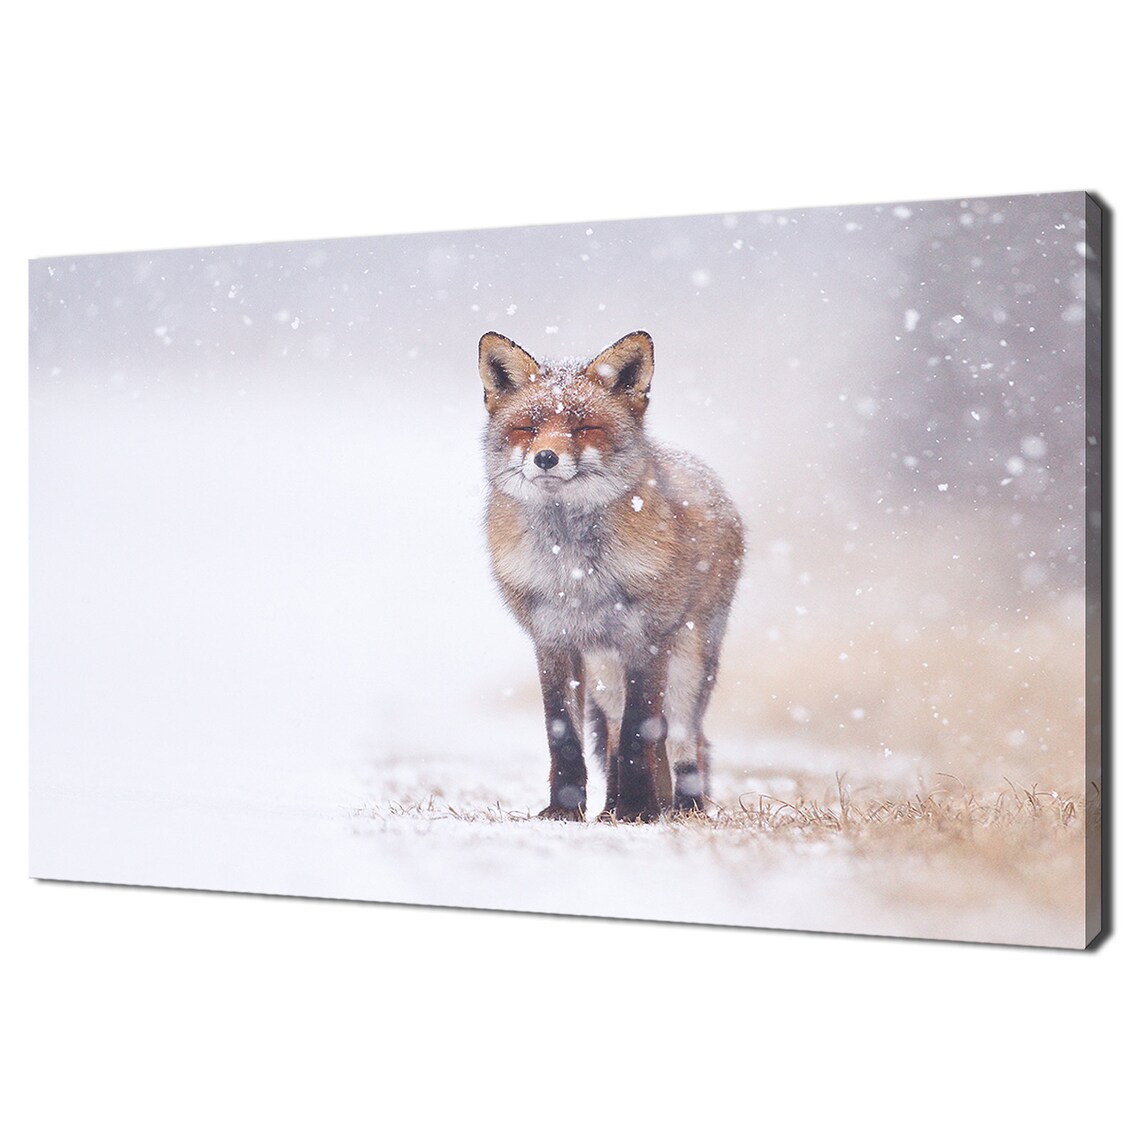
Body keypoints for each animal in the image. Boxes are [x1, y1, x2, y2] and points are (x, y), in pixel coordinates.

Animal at [479, 330, 744, 822]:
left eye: (584, 428)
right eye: (528, 429)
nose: (545, 457)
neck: (573, 569)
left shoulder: (646, 640)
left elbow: (644, 734)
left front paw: (640, 810)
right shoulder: (552, 640)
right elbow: (565, 735)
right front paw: (565, 811)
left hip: (688, 662)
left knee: (684, 739)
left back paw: (683, 807)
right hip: (605, 672)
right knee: (618, 733)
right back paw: (612, 807)